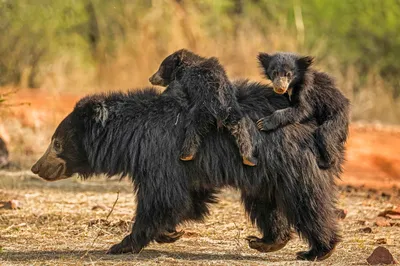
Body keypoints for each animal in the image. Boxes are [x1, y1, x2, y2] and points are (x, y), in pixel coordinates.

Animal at [32, 81, 342, 262]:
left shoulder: (159, 153)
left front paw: (122, 244)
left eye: (56, 143)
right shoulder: (181, 163)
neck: (131, 136)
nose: (36, 168)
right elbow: (189, 197)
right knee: (266, 203)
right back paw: (266, 241)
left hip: (290, 159)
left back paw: (317, 249)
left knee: (307, 201)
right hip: (266, 171)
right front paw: (169, 233)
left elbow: (163, 198)